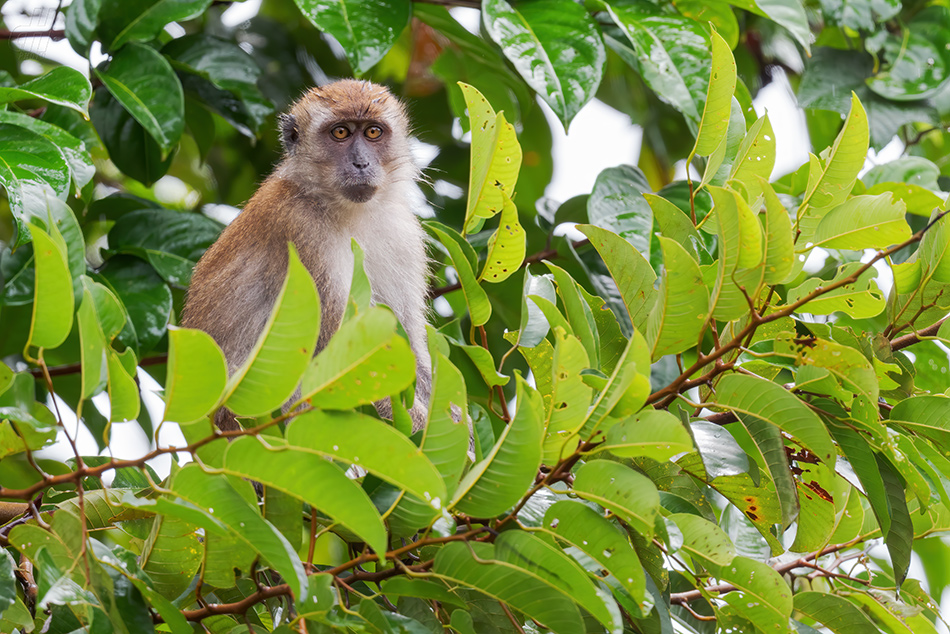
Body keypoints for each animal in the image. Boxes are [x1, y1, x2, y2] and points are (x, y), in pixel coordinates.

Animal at [181, 79, 432, 432]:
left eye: (372, 132)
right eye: (340, 133)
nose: (361, 164)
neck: (345, 210)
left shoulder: (402, 234)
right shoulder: (302, 231)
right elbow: (334, 357)